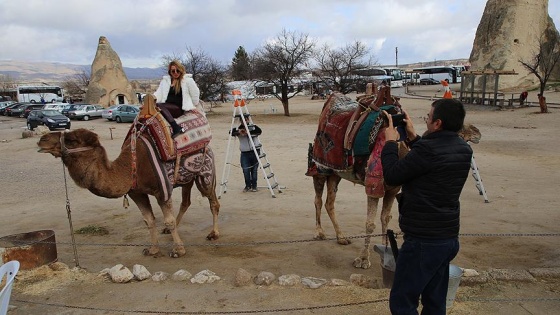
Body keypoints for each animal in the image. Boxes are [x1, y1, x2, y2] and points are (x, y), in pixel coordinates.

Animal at [37, 129, 220, 260]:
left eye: (72, 140)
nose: (42, 139)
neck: (128, 168)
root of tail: (209, 146)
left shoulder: (161, 191)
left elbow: (169, 220)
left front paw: (178, 251)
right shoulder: (136, 193)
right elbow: (149, 220)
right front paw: (153, 249)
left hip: (205, 174)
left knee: (213, 202)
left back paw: (213, 234)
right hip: (186, 180)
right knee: (186, 202)